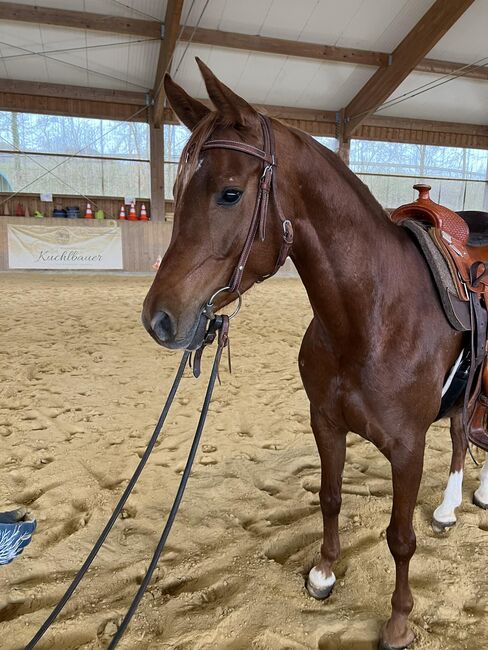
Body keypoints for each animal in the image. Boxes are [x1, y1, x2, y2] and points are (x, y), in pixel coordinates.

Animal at [142, 58, 488, 644]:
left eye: (229, 193)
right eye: (179, 186)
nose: (159, 319)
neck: (370, 318)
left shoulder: (408, 447)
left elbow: (400, 537)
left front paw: (398, 622)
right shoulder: (324, 422)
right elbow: (329, 498)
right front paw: (325, 572)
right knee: (465, 430)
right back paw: (448, 508)